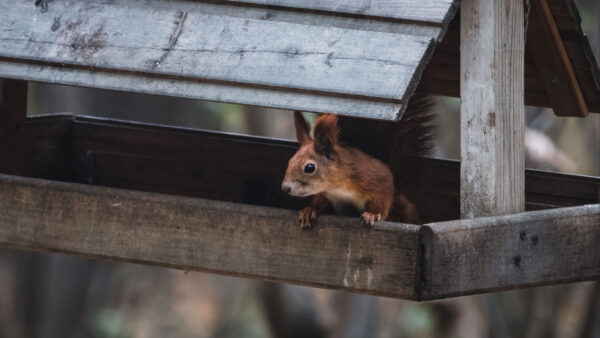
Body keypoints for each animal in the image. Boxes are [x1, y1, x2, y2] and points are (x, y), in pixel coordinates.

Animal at [280, 95, 432, 228]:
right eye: (290, 160)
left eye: (310, 167)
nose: (285, 188)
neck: (337, 187)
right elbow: (320, 201)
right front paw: (310, 209)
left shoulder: (378, 179)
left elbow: (382, 200)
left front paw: (372, 215)